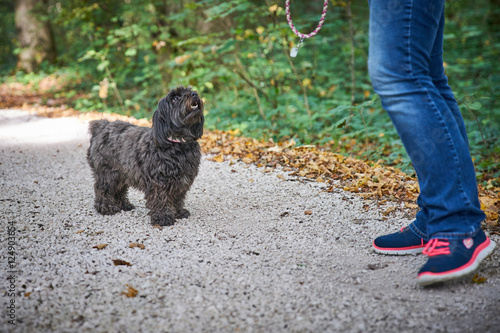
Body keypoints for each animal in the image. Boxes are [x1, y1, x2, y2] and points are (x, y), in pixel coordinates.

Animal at [87, 85, 204, 226]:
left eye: (190, 91)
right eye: (175, 98)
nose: (194, 94)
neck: (178, 143)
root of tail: (101, 126)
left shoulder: (181, 181)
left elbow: (177, 199)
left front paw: (178, 212)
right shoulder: (159, 182)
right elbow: (161, 199)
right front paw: (163, 217)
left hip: (122, 172)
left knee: (119, 190)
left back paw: (124, 205)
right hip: (107, 173)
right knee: (102, 189)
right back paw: (106, 207)